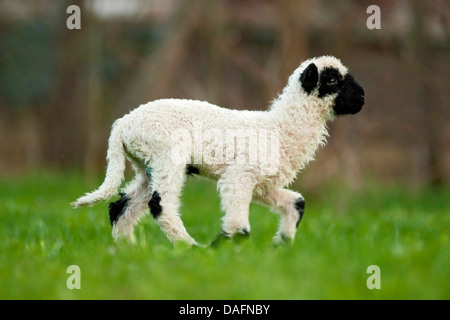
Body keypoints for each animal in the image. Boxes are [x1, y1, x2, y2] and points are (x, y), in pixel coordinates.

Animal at [71, 55, 366, 245]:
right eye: (331, 80)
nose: (362, 97)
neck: (280, 128)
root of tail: (122, 126)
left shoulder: (263, 184)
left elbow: (297, 202)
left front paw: (282, 242)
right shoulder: (239, 175)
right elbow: (240, 224)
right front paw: (224, 249)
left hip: (147, 166)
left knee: (121, 206)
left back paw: (128, 249)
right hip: (167, 155)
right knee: (160, 205)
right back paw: (189, 247)